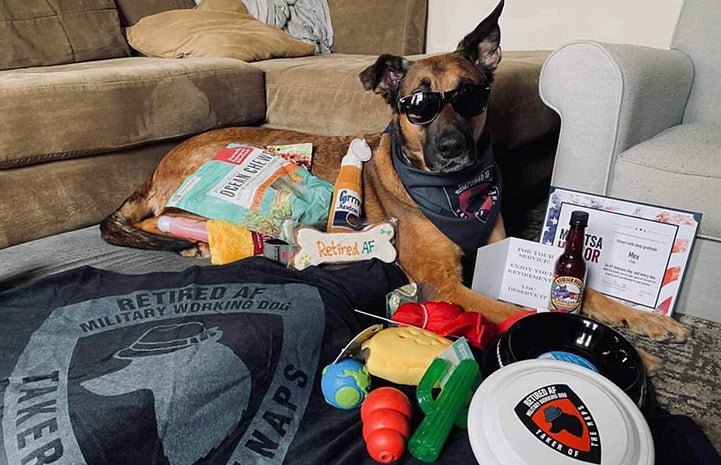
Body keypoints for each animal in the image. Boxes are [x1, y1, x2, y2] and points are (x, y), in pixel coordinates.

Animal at [100, 0, 688, 356]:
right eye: (417, 107)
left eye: (470, 97)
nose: (452, 150)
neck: (452, 194)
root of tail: (160, 165)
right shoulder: (444, 286)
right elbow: (523, 308)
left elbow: (580, 292)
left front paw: (643, 318)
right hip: (227, 183)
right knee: (161, 220)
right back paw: (196, 242)